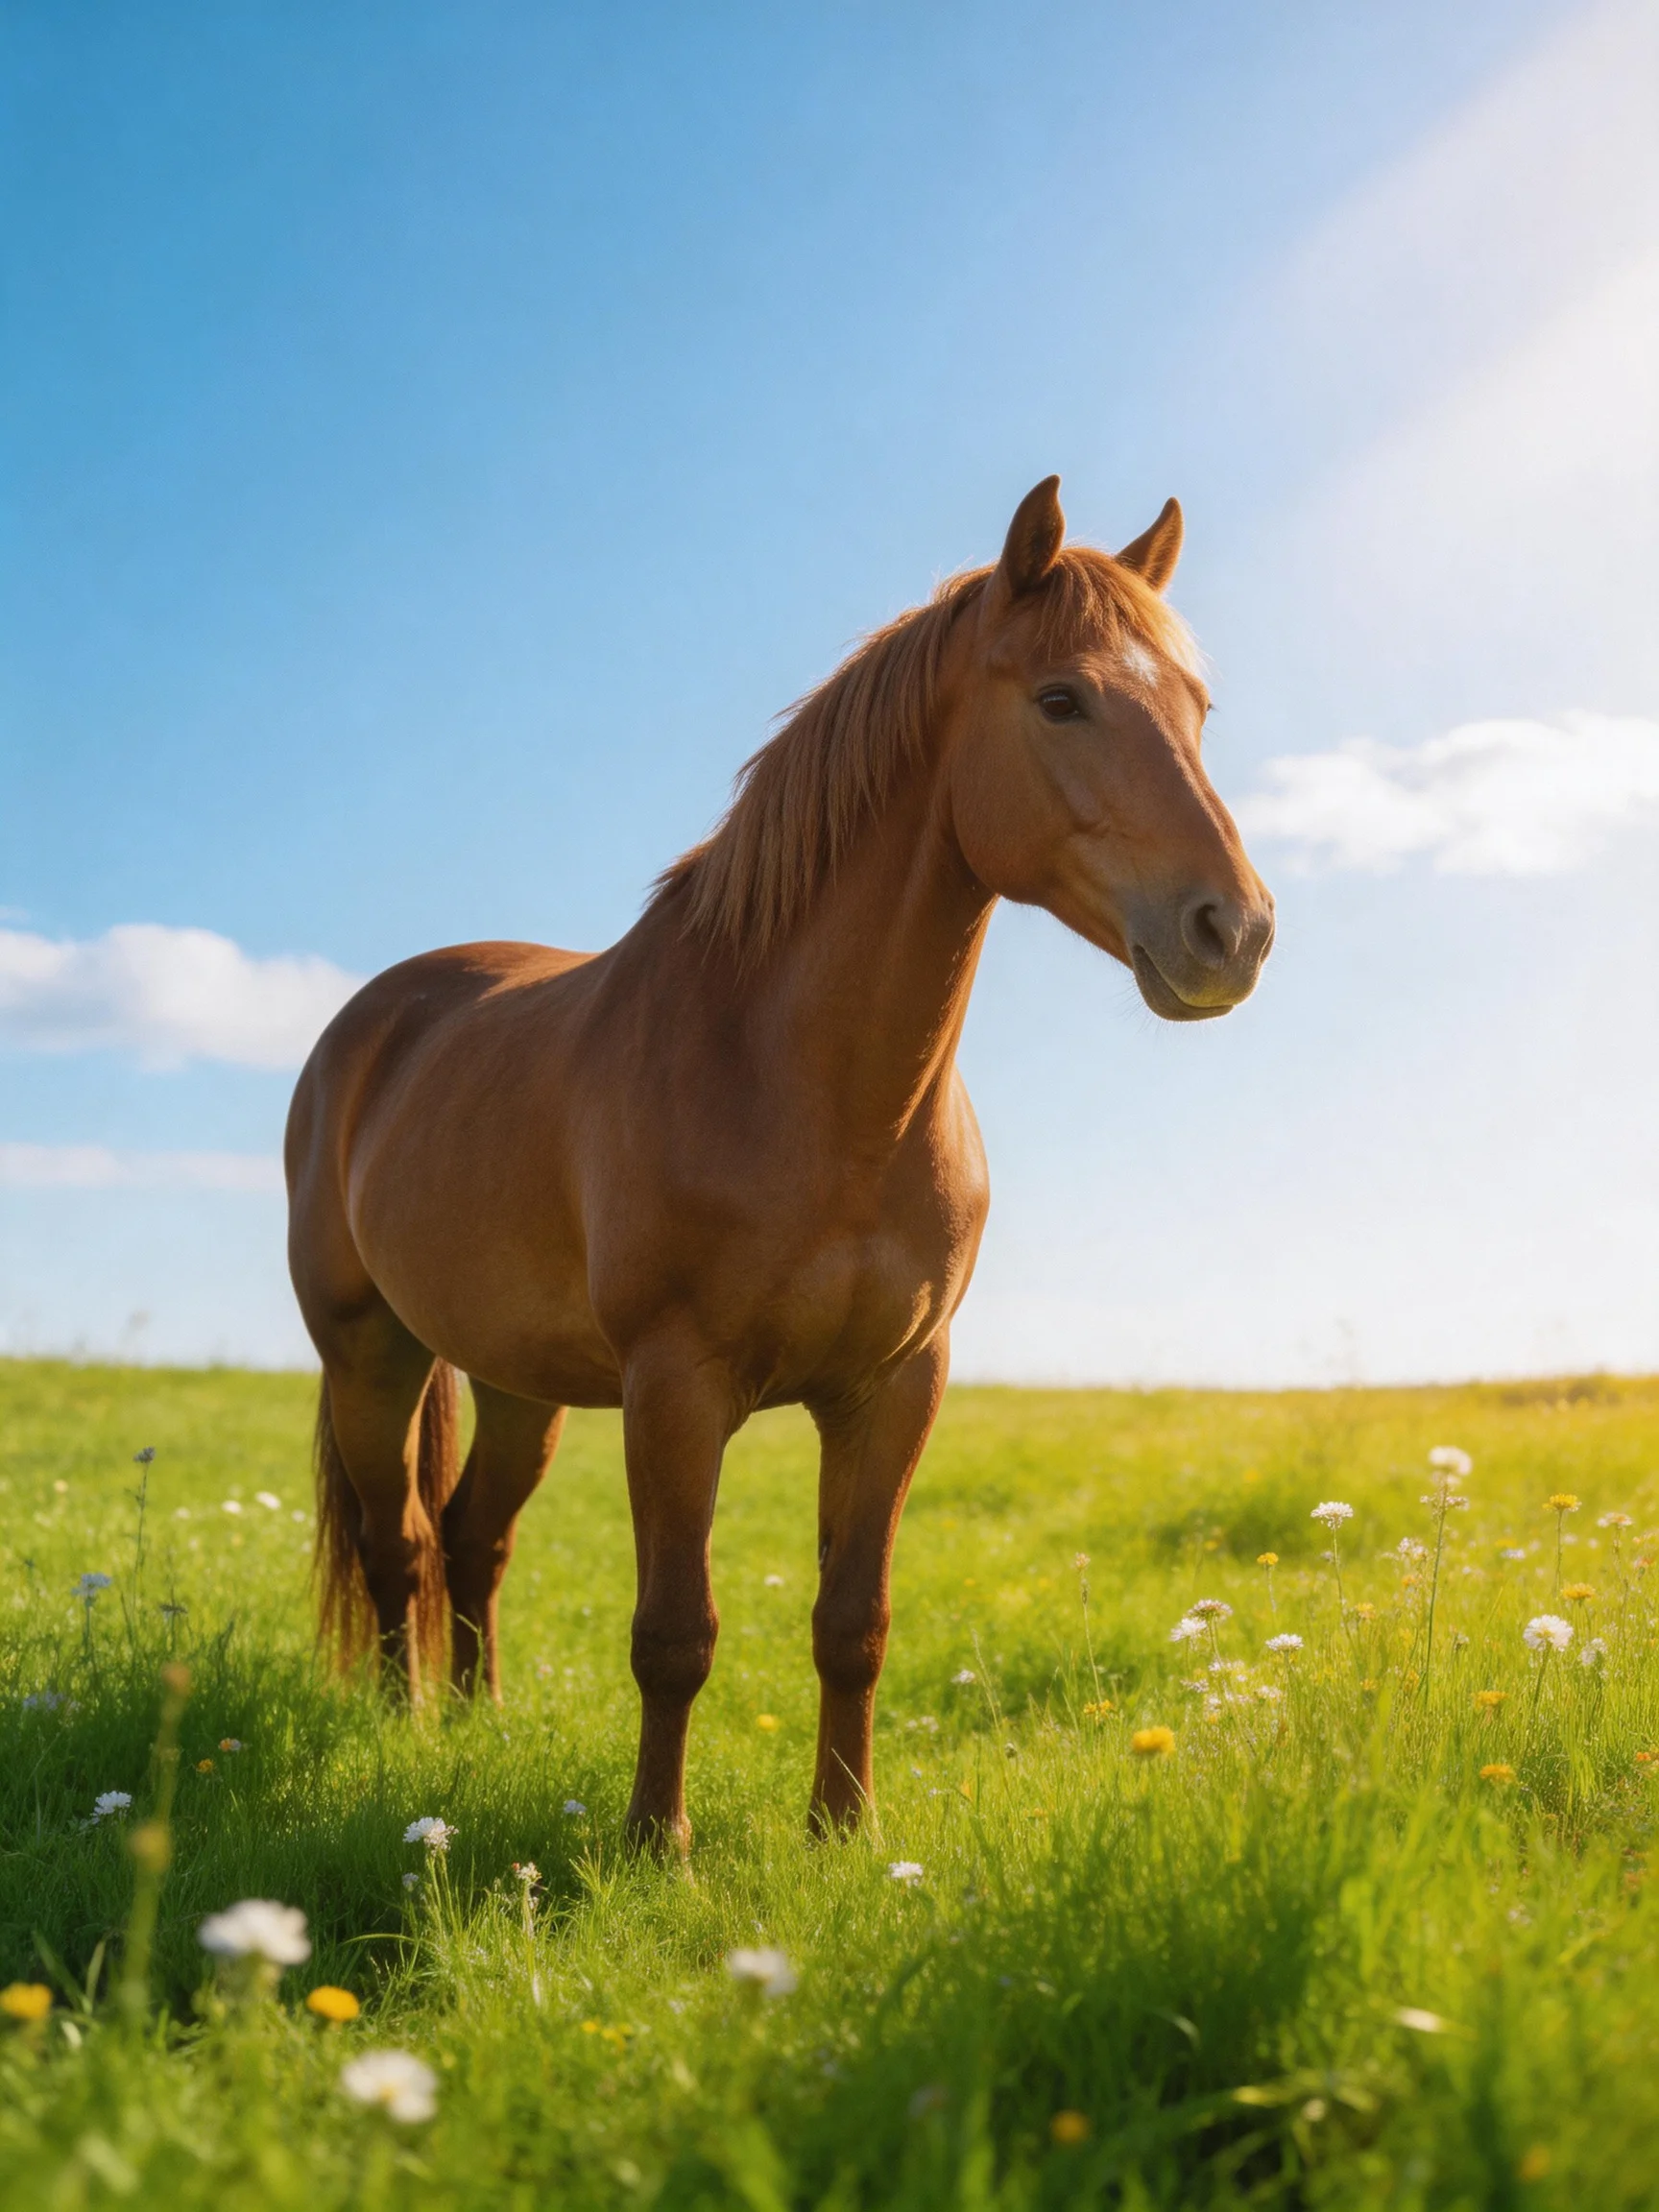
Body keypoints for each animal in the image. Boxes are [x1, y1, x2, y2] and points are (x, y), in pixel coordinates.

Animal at [285, 476, 1273, 1852]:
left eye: (1197, 708)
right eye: (1061, 699)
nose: (1232, 933)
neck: (808, 1089)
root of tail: (376, 1020)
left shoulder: (896, 1386)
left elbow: (853, 1623)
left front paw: (844, 1831)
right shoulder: (676, 1387)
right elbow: (674, 1634)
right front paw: (658, 1845)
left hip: (518, 1381)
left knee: (476, 1538)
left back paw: (478, 1723)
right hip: (369, 1352)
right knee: (402, 1545)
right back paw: (405, 1729)